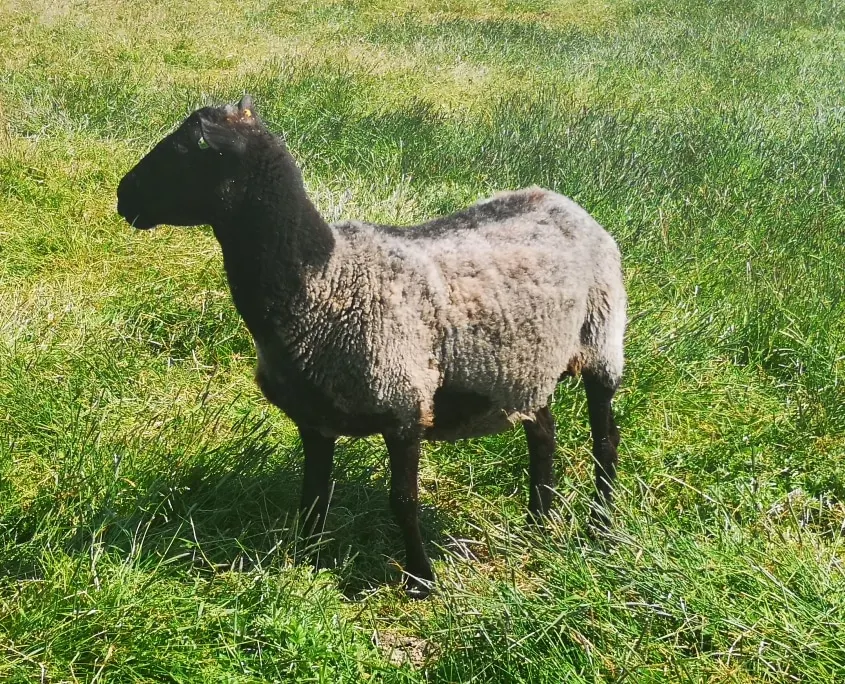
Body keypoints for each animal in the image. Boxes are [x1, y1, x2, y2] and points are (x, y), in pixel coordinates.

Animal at [116, 95, 627, 599]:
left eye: (184, 152)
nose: (123, 197)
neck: (326, 279)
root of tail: (562, 200)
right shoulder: (314, 419)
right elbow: (313, 496)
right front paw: (305, 565)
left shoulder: (404, 406)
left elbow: (402, 500)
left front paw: (422, 580)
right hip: (524, 369)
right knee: (543, 435)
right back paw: (538, 520)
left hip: (602, 338)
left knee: (605, 440)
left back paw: (601, 526)